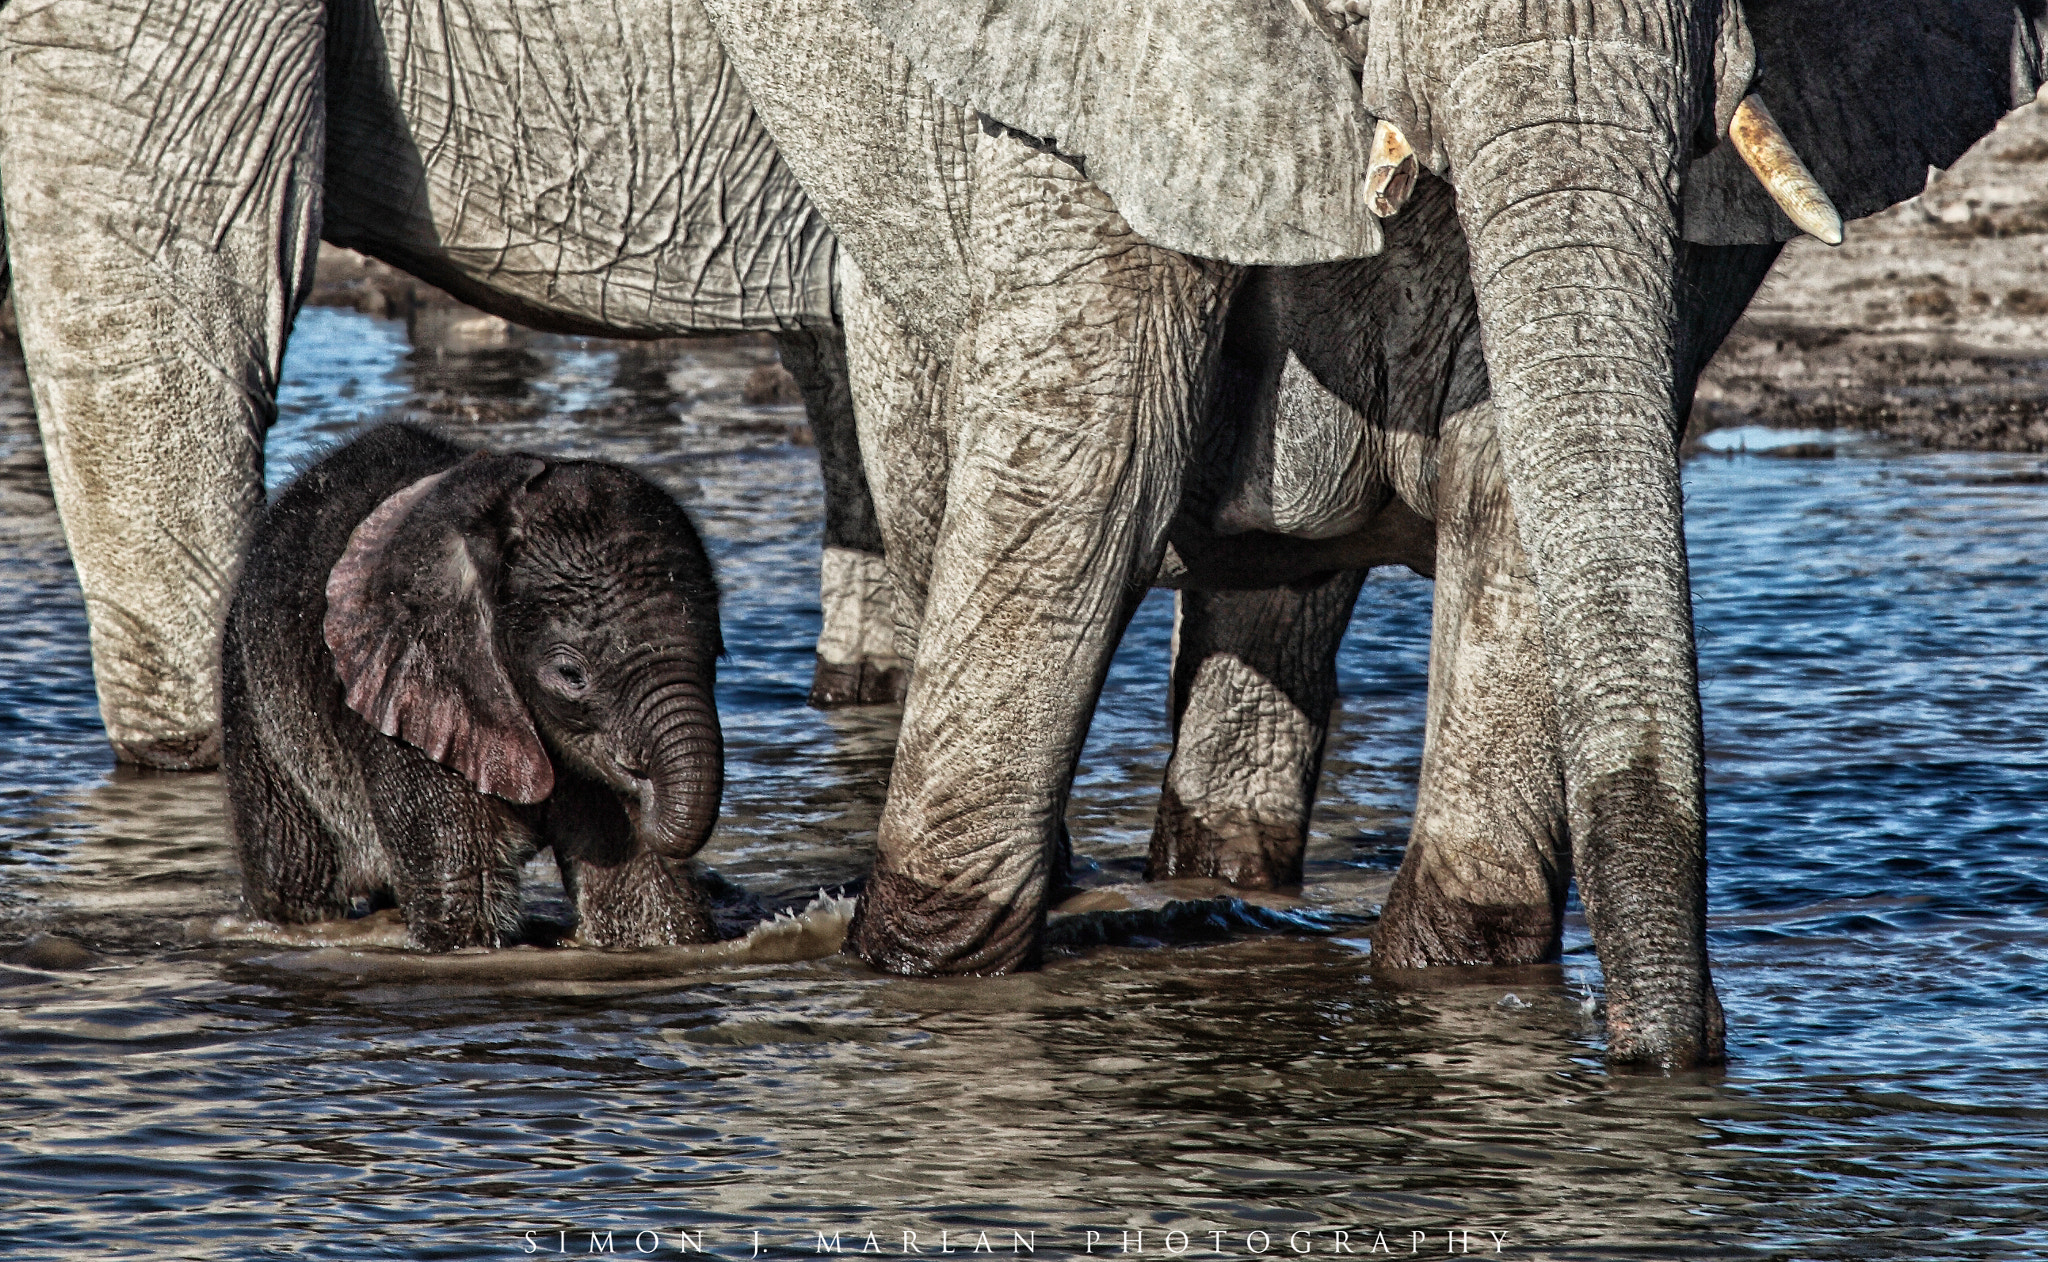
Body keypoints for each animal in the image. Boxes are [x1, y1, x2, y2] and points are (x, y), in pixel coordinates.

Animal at [228, 424, 724, 946]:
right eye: (571, 675)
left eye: (718, 653)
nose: (645, 786)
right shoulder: (412, 703)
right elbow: (465, 904)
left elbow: (641, 896)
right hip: (251, 698)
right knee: (294, 879)